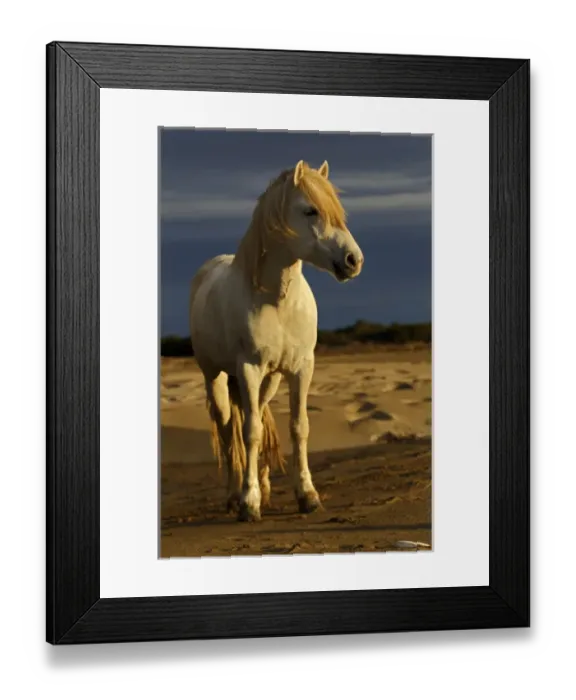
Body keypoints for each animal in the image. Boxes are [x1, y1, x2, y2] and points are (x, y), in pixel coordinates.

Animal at [189, 159, 364, 522]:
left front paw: (307, 495)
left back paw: (265, 487)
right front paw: (249, 503)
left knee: (257, 416)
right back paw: (234, 495)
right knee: (228, 430)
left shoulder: (301, 368)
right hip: (216, 376)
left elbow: (298, 427)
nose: (354, 260)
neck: (277, 301)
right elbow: (250, 432)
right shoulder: (249, 368)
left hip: (267, 381)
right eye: (310, 210)